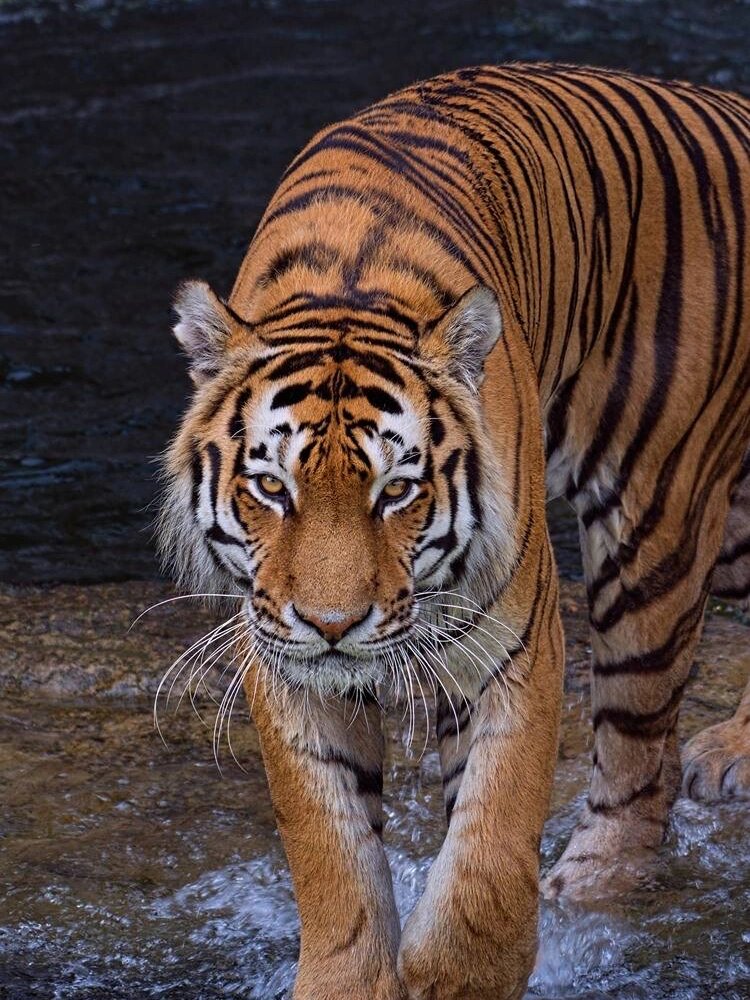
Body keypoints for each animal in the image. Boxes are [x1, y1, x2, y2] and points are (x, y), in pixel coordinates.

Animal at [160, 64, 750, 1000]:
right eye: (272, 487)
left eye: (397, 490)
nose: (334, 627)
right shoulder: (285, 664)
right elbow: (331, 853)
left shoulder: (513, 643)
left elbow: (489, 849)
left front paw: (460, 971)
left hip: (657, 515)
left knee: (637, 762)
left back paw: (589, 889)